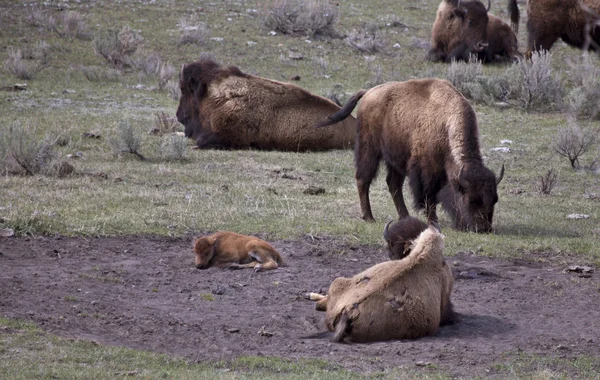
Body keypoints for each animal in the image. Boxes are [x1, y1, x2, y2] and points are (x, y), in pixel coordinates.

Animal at [316, 78, 504, 232]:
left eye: (494, 199)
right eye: (472, 200)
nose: (483, 229)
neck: (446, 125)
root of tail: (368, 92)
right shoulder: (426, 170)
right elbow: (429, 197)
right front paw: (433, 223)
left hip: (395, 159)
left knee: (393, 184)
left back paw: (404, 216)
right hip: (369, 149)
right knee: (363, 179)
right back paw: (369, 217)